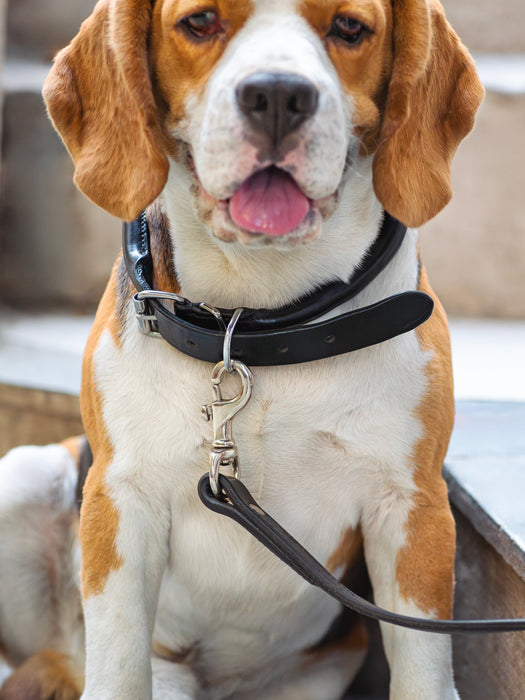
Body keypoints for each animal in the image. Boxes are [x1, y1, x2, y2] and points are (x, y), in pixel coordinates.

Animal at [0, 1, 484, 700]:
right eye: (200, 22)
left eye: (350, 29)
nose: (278, 95)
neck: (253, 324)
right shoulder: (119, 503)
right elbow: (118, 668)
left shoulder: (413, 511)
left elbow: (423, 671)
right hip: (24, 479)